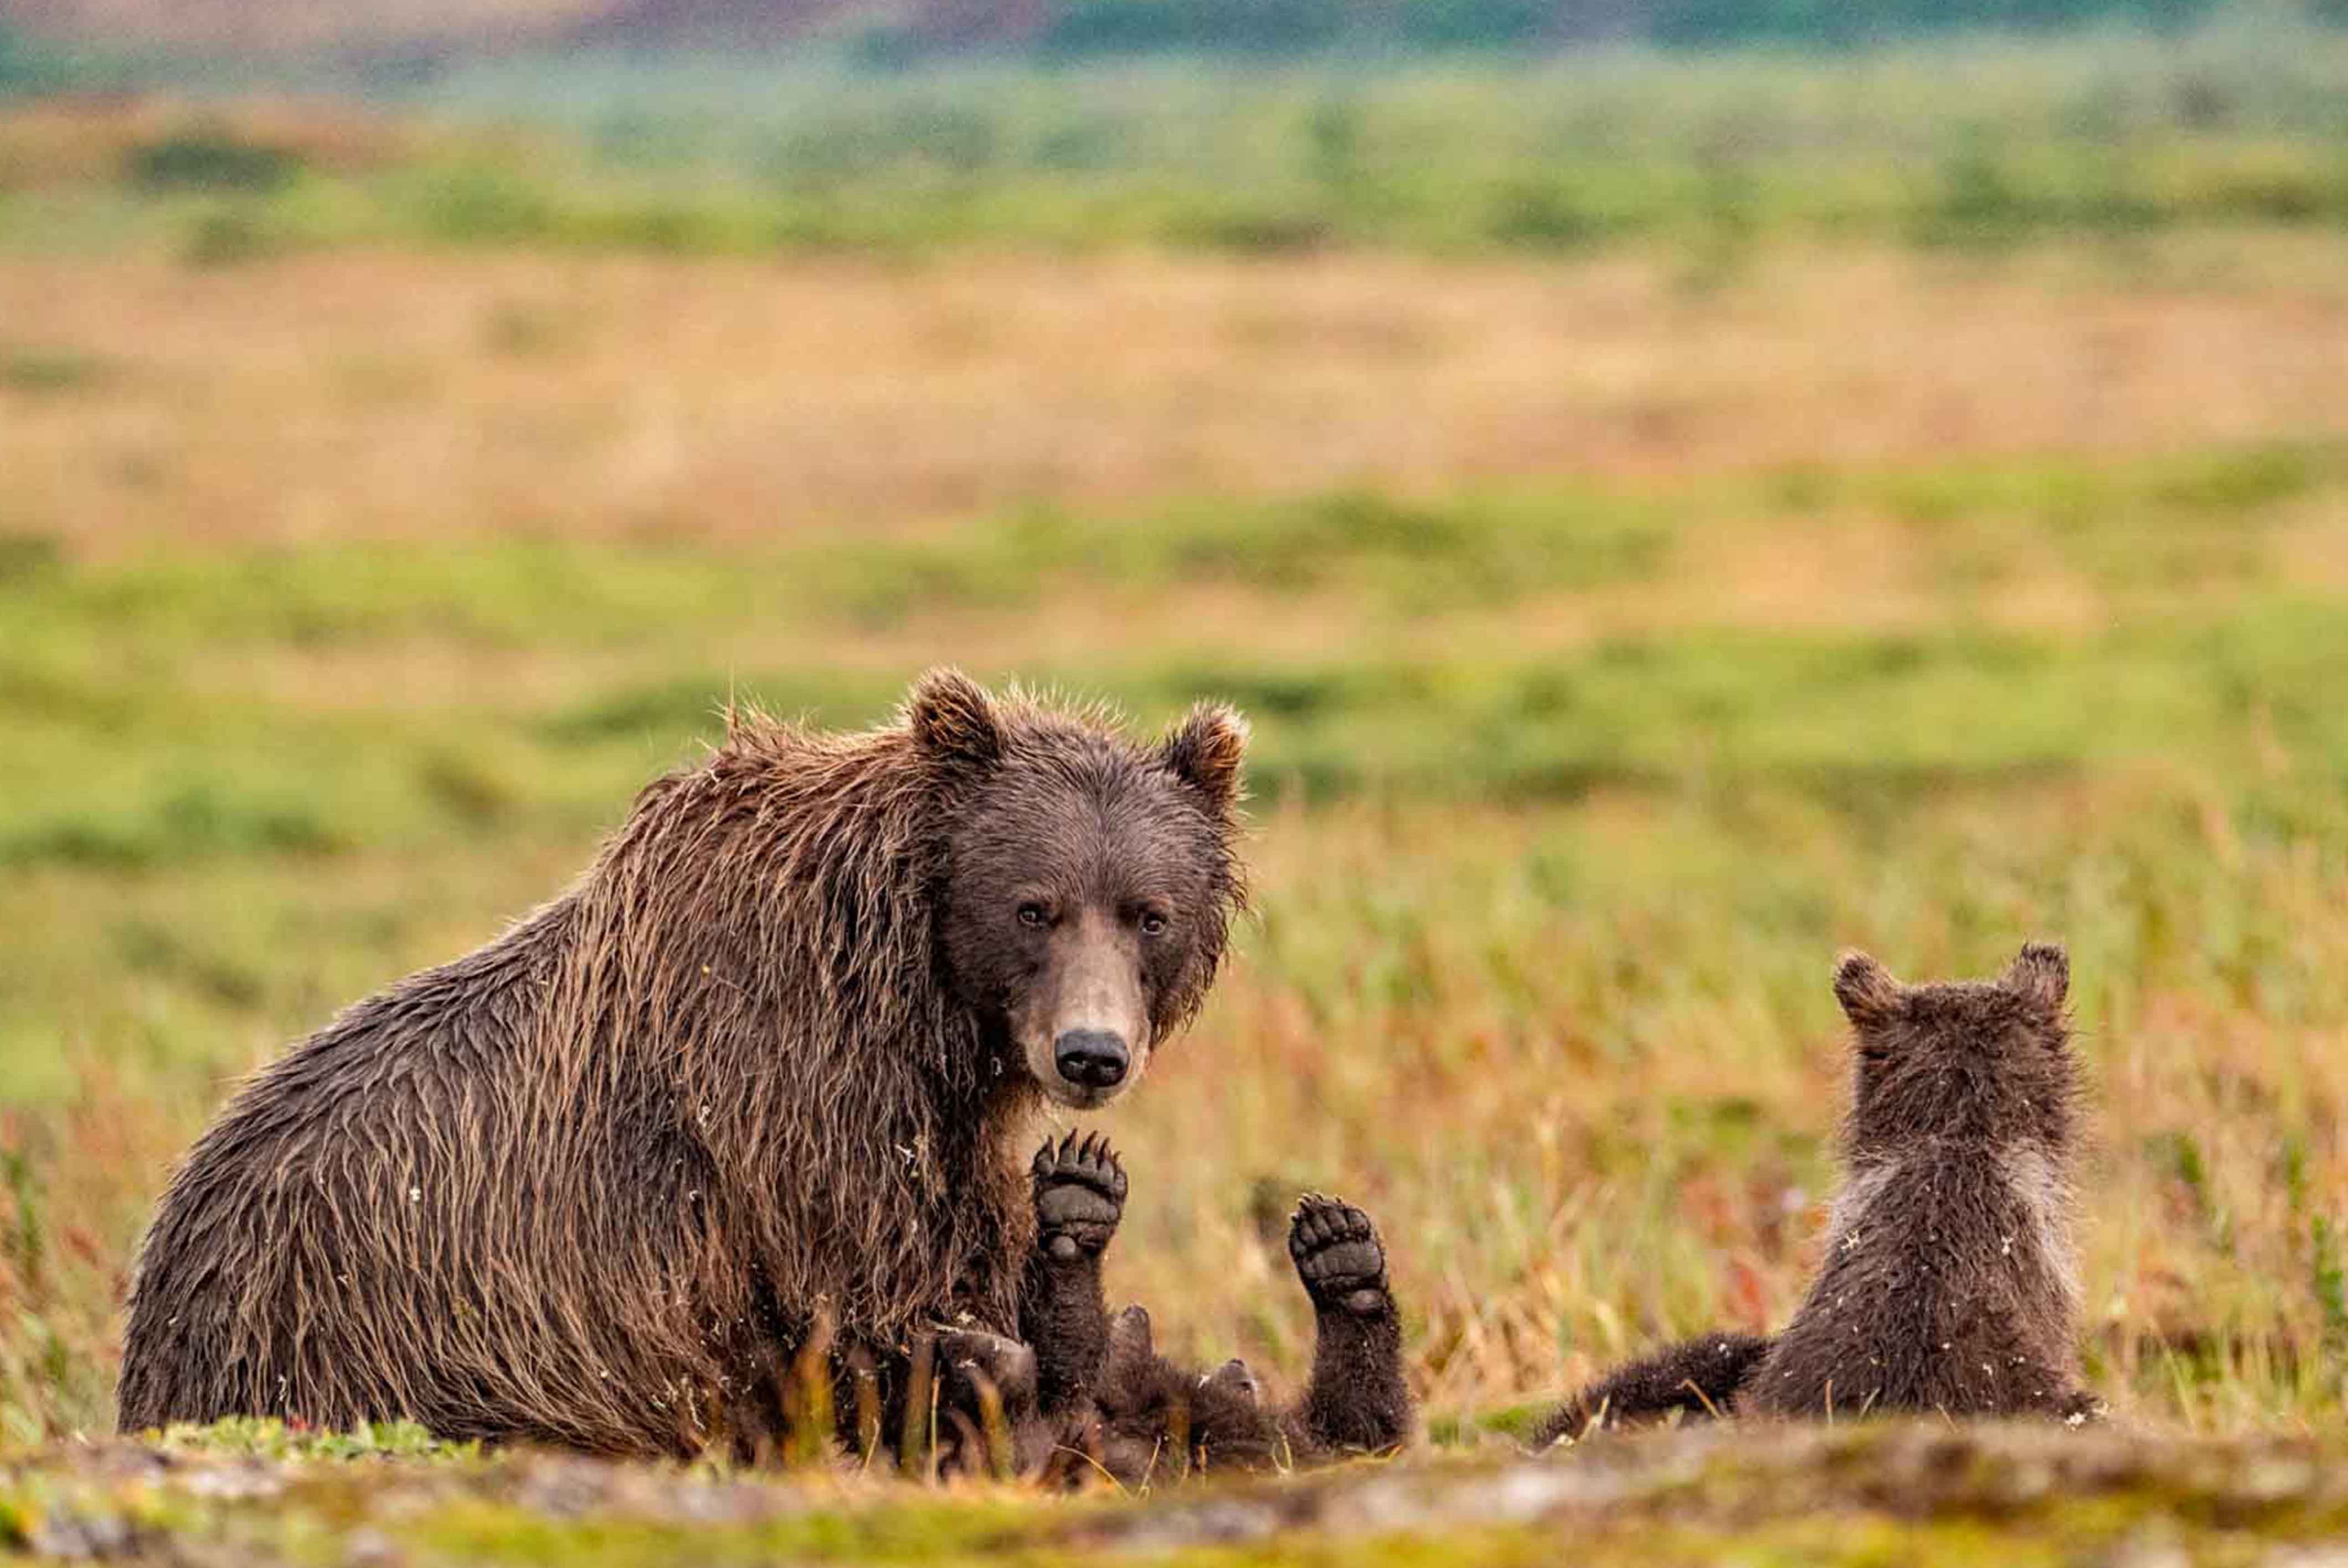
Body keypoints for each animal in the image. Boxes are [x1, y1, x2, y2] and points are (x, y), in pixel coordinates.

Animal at [115, 670, 1251, 1460]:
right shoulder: (797, 1088)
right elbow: (887, 1290)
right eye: (1032, 907)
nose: (1091, 1053)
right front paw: (1019, 1371)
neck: (913, 984)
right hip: (360, 1334)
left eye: (1149, 913)